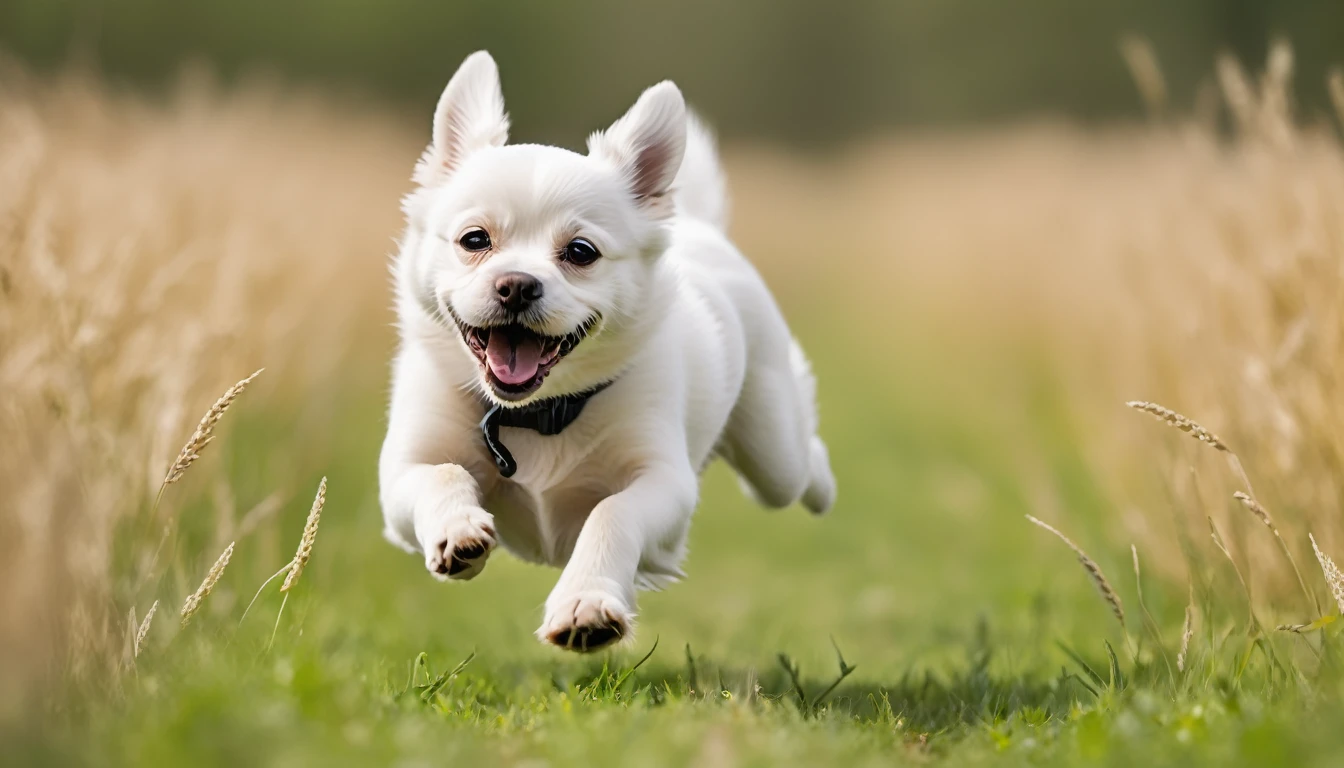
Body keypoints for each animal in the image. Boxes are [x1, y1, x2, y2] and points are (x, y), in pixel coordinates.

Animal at [379, 52, 833, 656]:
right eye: (475, 240)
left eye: (580, 252)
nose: (516, 285)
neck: (539, 415)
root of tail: (697, 226)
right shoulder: (401, 475)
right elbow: (442, 475)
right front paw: (457, 530)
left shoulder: (664, 484)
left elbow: (612, 513)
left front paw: (586, 604)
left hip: (772, 448)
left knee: (799, 462)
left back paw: (823, 484)